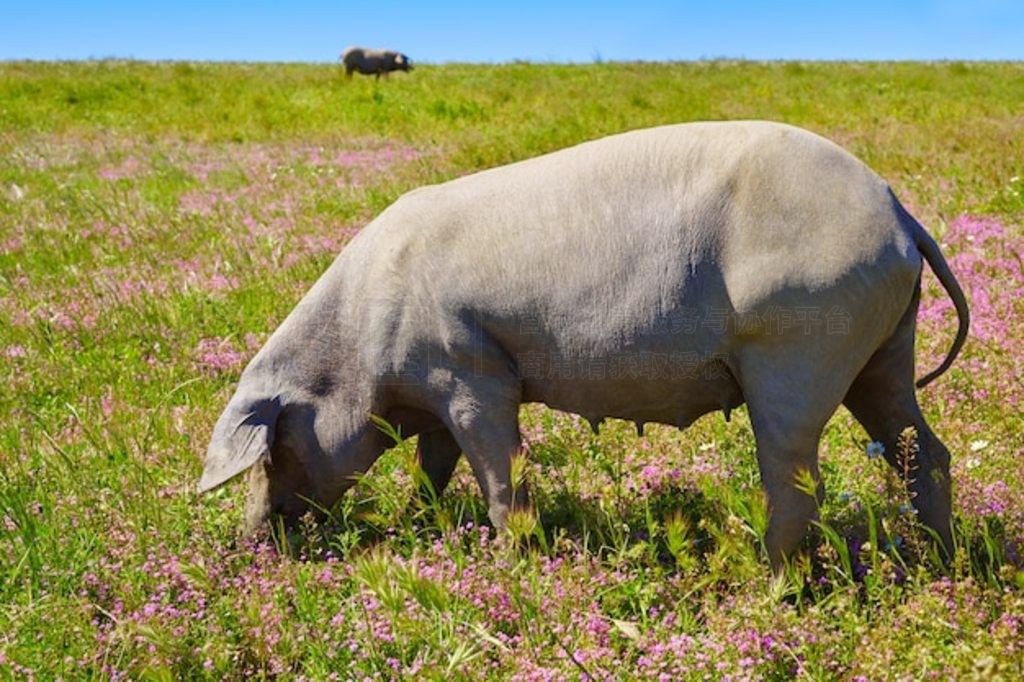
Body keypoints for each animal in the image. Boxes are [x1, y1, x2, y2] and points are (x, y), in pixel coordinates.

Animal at [199, 119, 966, 565]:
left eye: (273, 450)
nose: (251, 543)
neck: (359, 356)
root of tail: (898, 212)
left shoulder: (471, 371)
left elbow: (499, 474)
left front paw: (510, 563)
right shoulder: (437, 387)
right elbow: (433, 465)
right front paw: (424, 523)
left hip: (796, 346)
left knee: (797, 479)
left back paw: (764, 580)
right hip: (881, 348)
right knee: (923, 451)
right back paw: (935, 562)